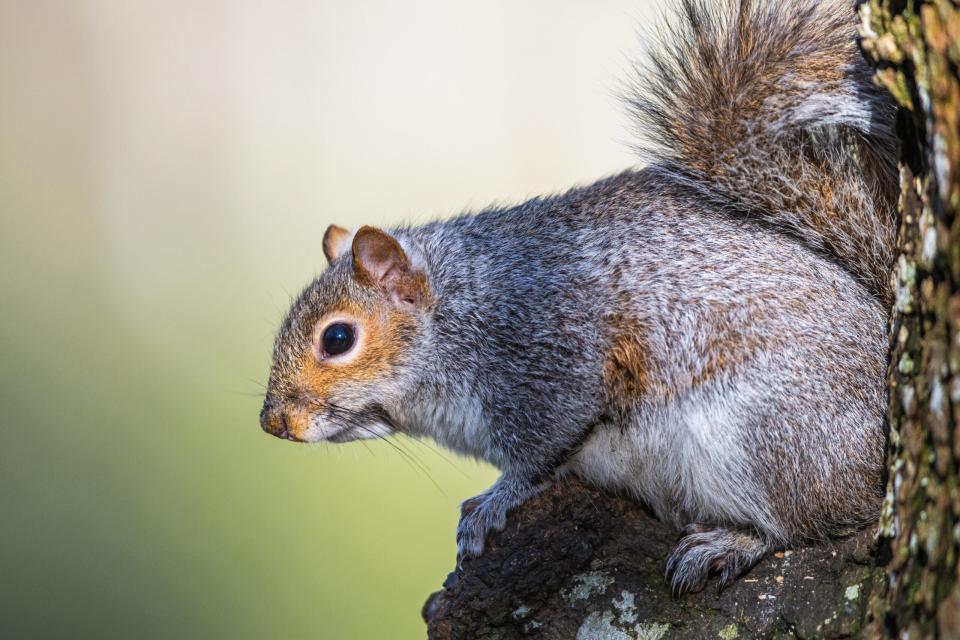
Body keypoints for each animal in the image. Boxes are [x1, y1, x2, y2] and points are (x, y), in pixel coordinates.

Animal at [258, 0, 896, 596]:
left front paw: (492, 503)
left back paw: (731, 542)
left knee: (805, 521)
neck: (464, 308)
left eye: (338, 338)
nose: (272, 423)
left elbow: (539, 455)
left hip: (766, 441)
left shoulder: (546, 359)